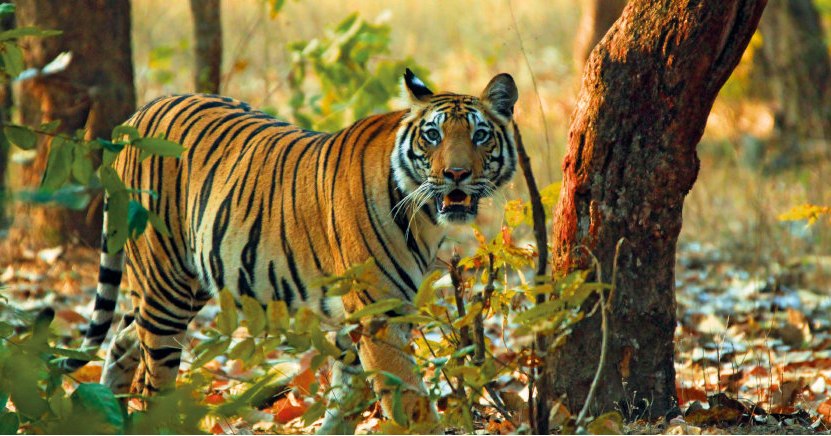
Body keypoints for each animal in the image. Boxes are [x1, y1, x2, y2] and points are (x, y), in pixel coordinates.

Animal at [58, 69, 519, 432]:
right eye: (432, 135)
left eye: (480, 135)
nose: (456, 174)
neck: (424, 219)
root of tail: (137, 115)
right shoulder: (379, 317)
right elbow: (411, 404)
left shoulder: (361, 324)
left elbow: (345, 404)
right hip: (164, 283)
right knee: (154, 377)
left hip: (187, 283)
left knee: (124, 338)